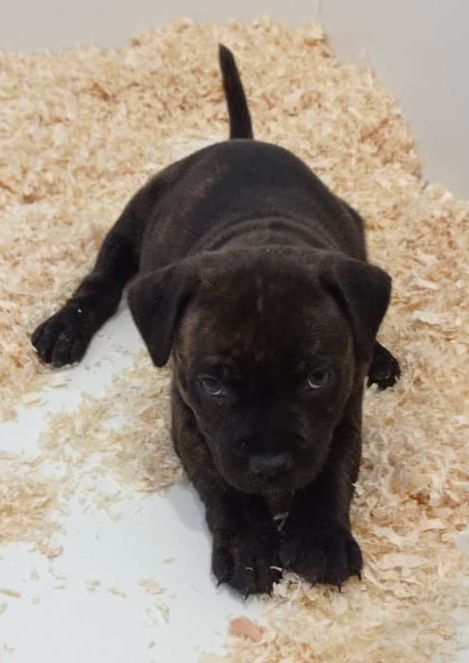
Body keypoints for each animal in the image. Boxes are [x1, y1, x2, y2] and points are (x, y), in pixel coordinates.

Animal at [32, 45, 400, 595]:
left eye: (316, 378)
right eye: (214, 385)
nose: (270, 465)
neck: (262, 237)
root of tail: (239, 142)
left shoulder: (344, 408)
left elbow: (332, 468)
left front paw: (319, 537)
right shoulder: (189, 417)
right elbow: (224, 484)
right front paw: (250, 544)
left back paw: (379, 351)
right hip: (135, 216)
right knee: (103, 277)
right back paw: (65, 327)